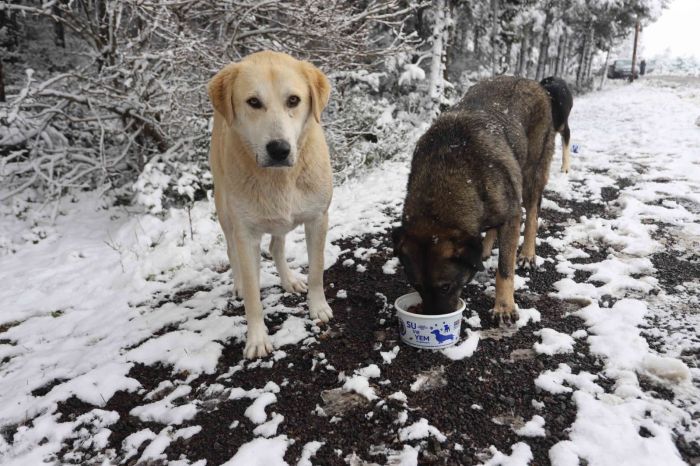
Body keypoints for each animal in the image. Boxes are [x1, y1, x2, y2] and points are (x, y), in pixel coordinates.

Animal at [207, 51, 333, 358]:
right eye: (254, 102)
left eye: (294, 100)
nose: (279, 149)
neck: (281, 178)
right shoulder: (246, 235)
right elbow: (254, 297)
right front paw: (256, 338)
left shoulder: (318, 219)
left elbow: (317, 269)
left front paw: (318, 307)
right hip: (225, 210)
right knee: (232, 252)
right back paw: (239, 285)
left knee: (276, 246)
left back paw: (290, 280)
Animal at [393, 76, 556, 324]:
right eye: (416, 286)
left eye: (445, 287)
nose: (435, 318)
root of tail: (530, 81)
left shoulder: (511, 217)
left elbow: (504, 269)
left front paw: (504, 307)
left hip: (532, 173)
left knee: (533, 213)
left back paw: (527, 254)